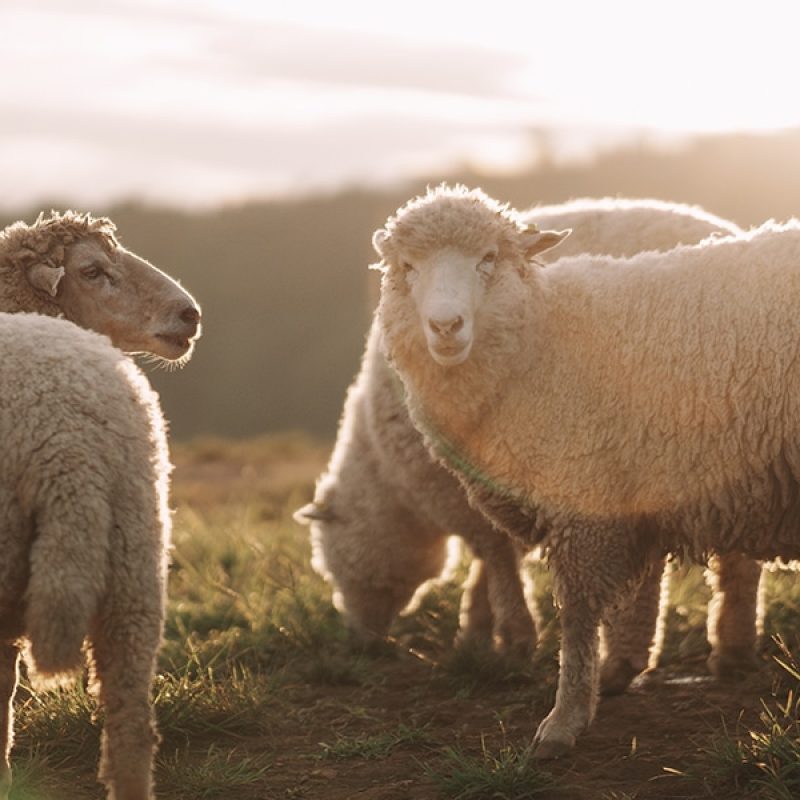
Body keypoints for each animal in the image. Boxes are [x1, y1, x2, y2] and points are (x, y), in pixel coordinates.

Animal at [297, 196, 749, 675]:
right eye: (407, 266)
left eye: (332, 564)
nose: (359, 640)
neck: (388, 477)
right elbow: (493, 560)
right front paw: (480, 630)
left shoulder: (466, 491)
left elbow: (494, 555)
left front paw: (507, 635)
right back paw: (733, 648)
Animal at [372, 184, 800, 758]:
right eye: (408, 266)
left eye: (489, 258)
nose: (445, 327)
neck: (542, 339)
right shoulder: (630, 491)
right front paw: (615, 675)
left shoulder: (585, 496)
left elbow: (577, 613)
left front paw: (564, 719)